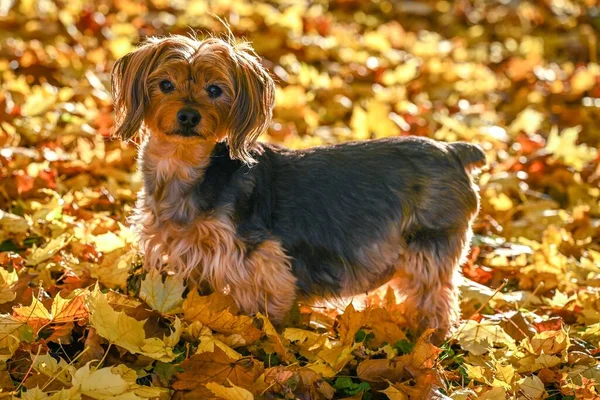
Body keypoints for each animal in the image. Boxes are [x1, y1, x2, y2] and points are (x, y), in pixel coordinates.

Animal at [112, 35, 486, 340]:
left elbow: (264, 308)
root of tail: (454, 151)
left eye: (215, 90)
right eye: (165, 84)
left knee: (435, 294)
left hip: (430, 242)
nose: (189, 116)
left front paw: (256, 340)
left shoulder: (259, 259)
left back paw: (428, 338)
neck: (185, 167)